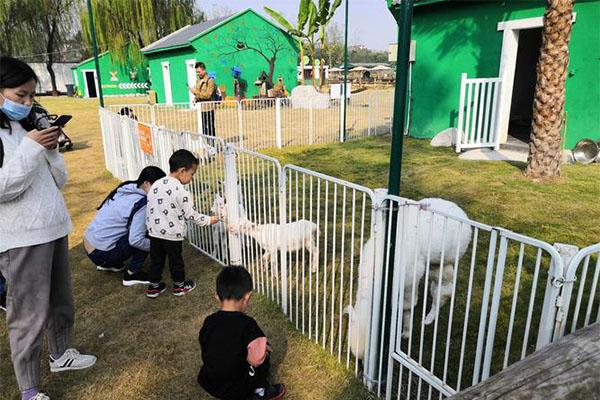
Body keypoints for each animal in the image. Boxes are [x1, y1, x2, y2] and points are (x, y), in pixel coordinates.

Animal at [346, 198, 474, 360]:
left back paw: (429, 318)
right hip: (434, 262)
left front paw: (406, 332)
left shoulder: (410, 279)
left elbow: (407, 306)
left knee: (443, 291)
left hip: (448, 258)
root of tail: (458, 210)